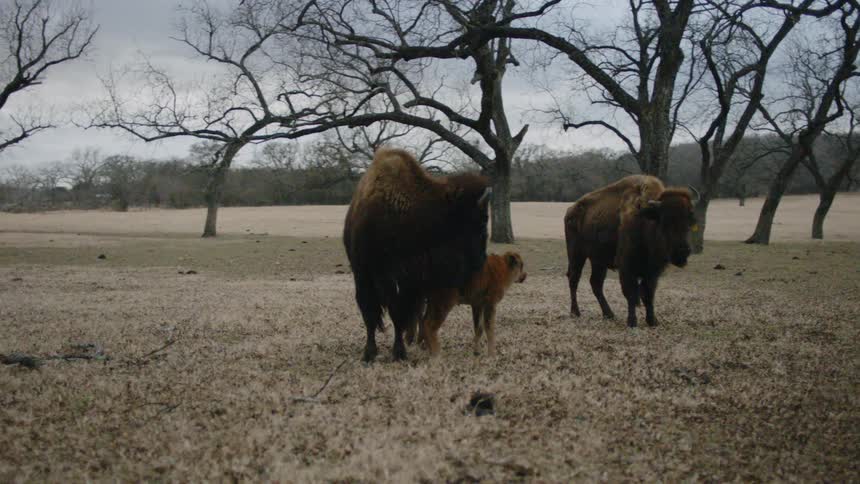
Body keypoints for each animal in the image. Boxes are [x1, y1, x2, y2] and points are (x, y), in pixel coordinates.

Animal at [343, 148, 491, 361]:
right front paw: (369, 354)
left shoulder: (409, 280)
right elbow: (371, 313)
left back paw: (418, 341)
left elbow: (399, 314)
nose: (481, 260)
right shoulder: (365, 274)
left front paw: (399, 352)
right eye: (482, 220)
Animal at [564, 175, 698, 327]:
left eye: (689, 220)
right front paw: (632, 322)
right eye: (665, 221)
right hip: (576, 254)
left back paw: (609, 314)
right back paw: (575, 312)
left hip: (598, 261)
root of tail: (571, 210)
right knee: (574, 279)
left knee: (596, 283)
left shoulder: (652, 271)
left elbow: (648, 293)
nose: (682, 251)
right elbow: (631, 293)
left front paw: (652, 321)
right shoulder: (627, 267)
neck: (646, 219)